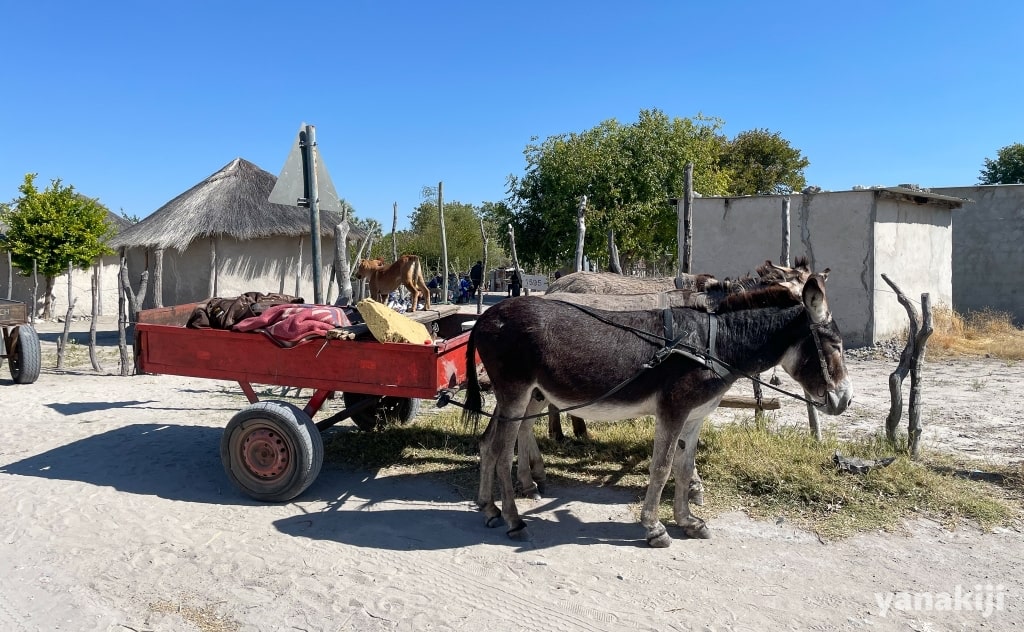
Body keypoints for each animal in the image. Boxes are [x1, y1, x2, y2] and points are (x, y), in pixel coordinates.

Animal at [462, 269, 852, 547]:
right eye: (834, 343)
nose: (845, 400)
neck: (714, 342)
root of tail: (485, 316)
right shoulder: (673, 410)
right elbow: (662, 468)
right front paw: (654, 528)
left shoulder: (695, 416)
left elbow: (684, 467)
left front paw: (688, 521)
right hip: (516, 392)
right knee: (501, 451)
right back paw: (514, 520)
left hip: (520, 396)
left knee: (488, 443)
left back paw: (489, 509)